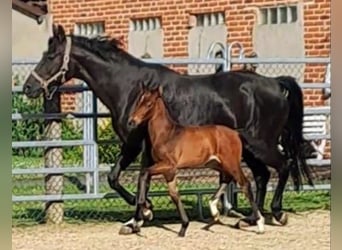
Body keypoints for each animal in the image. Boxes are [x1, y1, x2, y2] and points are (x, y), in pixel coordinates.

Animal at [128, 86, 264, 236]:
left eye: (149, 104)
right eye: (138, 101)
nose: (132, 121)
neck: (167, 134)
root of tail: (236, 133)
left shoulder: (168, 165)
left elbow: (144, 173)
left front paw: (146, 210)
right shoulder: (169, 171)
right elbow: (174, 195)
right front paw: (183, 227)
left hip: (231, 163)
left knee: (245, 184)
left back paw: (260, 224)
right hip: (217, 164)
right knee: (227, 179)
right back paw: (214, 210)